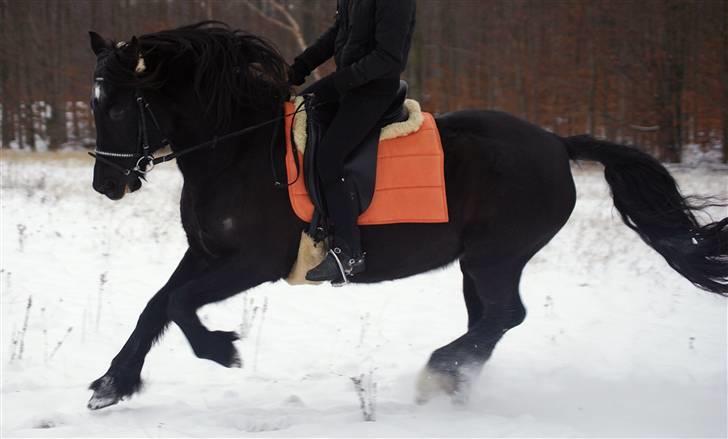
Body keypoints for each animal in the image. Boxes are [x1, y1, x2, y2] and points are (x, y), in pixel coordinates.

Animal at [86, 22, 728, 410]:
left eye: (116, 105)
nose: (107, 184)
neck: (238, 148)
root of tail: (557, 143)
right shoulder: (206, 252)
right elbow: (156, 304)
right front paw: (112, 383)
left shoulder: (253, 262)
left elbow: (178, 304)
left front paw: (222, 349)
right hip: (476, 263)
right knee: (491, 320)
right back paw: (454, 384)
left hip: (496, 256)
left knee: (505, 315)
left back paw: (439, 374)